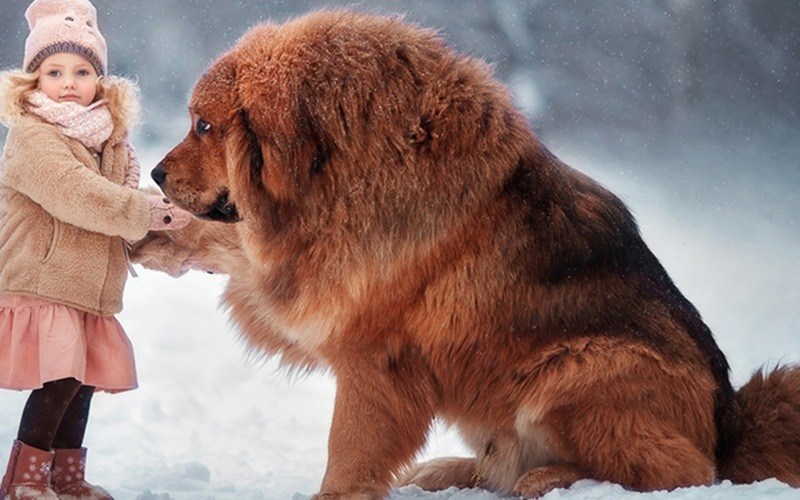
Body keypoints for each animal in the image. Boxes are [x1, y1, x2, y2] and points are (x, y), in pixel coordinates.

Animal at [133, 9, 800, 498]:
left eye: (204, 126)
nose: (156, 172)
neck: (342, 170)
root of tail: (730, 424)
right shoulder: (311, 272)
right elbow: (228, 241)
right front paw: (156, 233)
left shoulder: (373, 355)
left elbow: (347, 451)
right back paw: (449, 471)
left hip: (580, 366)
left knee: (679, 472)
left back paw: (551, 478)